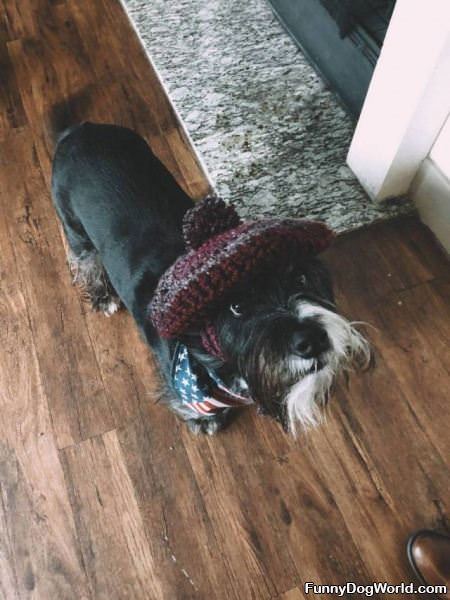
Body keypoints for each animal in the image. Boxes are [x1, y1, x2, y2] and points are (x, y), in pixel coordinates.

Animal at [51, 120, 370, 436]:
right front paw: (205, 421)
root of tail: (80, 130)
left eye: (301, 278)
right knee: (85, 260)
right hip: (75, 229)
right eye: (237, 307)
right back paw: (103, 296)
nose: (313, 340)